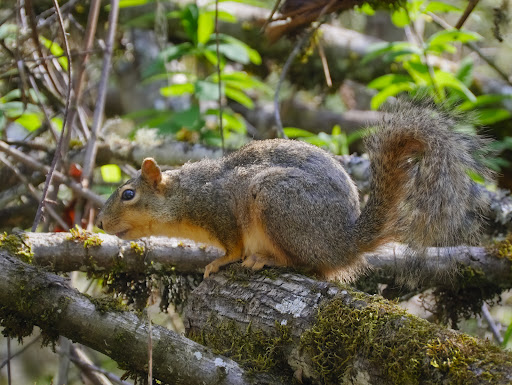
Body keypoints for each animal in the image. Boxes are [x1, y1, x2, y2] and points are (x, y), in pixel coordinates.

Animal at [96, 99, 492, 280]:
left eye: (128, 195)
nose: (99, 223)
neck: (183, 196)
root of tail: (345, 241)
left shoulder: (221, 210)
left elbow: (232, 247)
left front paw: (218, 262)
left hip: (275, 201)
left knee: (306, 264)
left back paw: (266, 258)